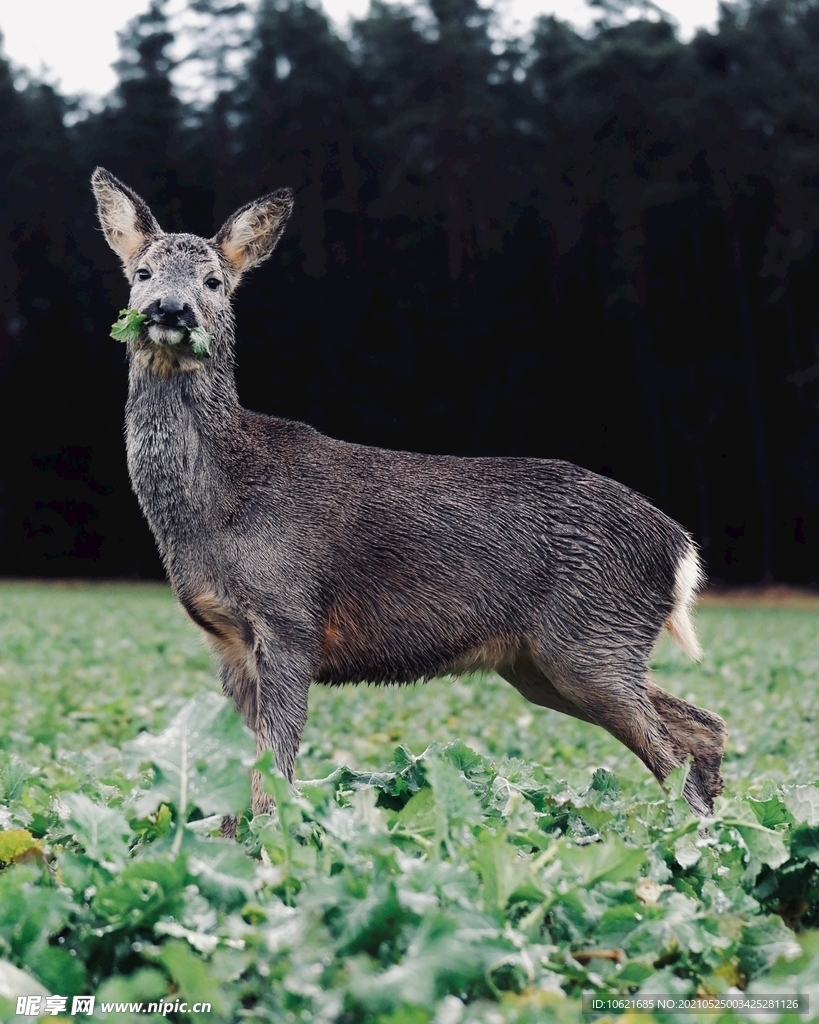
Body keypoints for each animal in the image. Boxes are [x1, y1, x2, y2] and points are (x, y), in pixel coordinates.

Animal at [91, 167, 727, 821]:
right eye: (142, 273)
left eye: (214, 280)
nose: (171, 308)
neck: (217, 503)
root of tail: (681, 548)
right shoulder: (226, 642)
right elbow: (241, 777)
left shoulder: (291, 619)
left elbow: (275, 774)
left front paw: (277, 841)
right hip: (548, 660)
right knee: (703, 726)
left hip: (593, 640)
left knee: (671, 749)